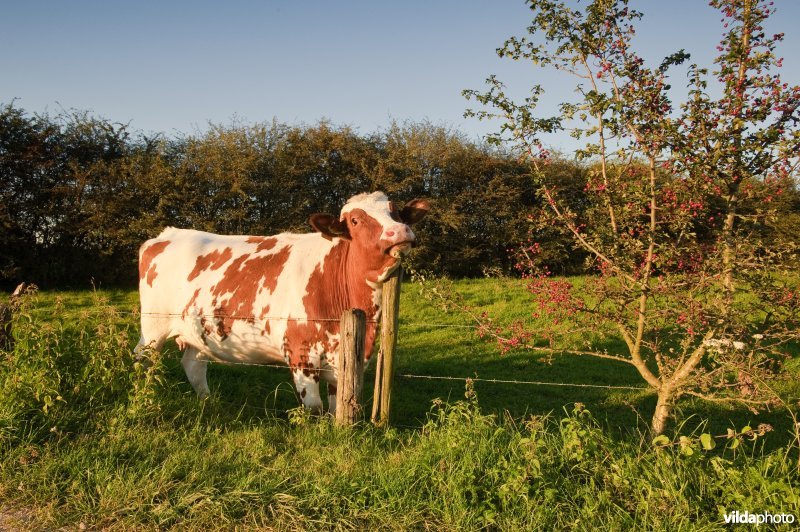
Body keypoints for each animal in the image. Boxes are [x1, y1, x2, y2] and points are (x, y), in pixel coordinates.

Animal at [134, 193, 428, 414]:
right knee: (143, 358)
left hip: (198, 331)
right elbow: (315, 408)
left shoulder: (343, 359)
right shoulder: (300, 354)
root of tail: (167, 234)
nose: (399, 231)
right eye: (355, 220)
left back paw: (209, 402)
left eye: (397, 213)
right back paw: (143, 397)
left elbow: (337, 406)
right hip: (154, 325)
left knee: (194, 365)